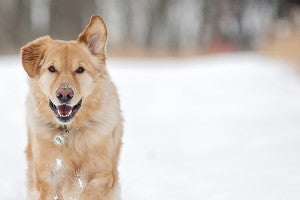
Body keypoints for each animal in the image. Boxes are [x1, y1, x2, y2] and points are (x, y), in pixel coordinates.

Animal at [21, 14, 123, 199]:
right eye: (52, 69)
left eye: (80, 70)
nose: (64, 94)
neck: (70, 132)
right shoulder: (48, 175)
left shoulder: (104, 173)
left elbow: (91, 190)